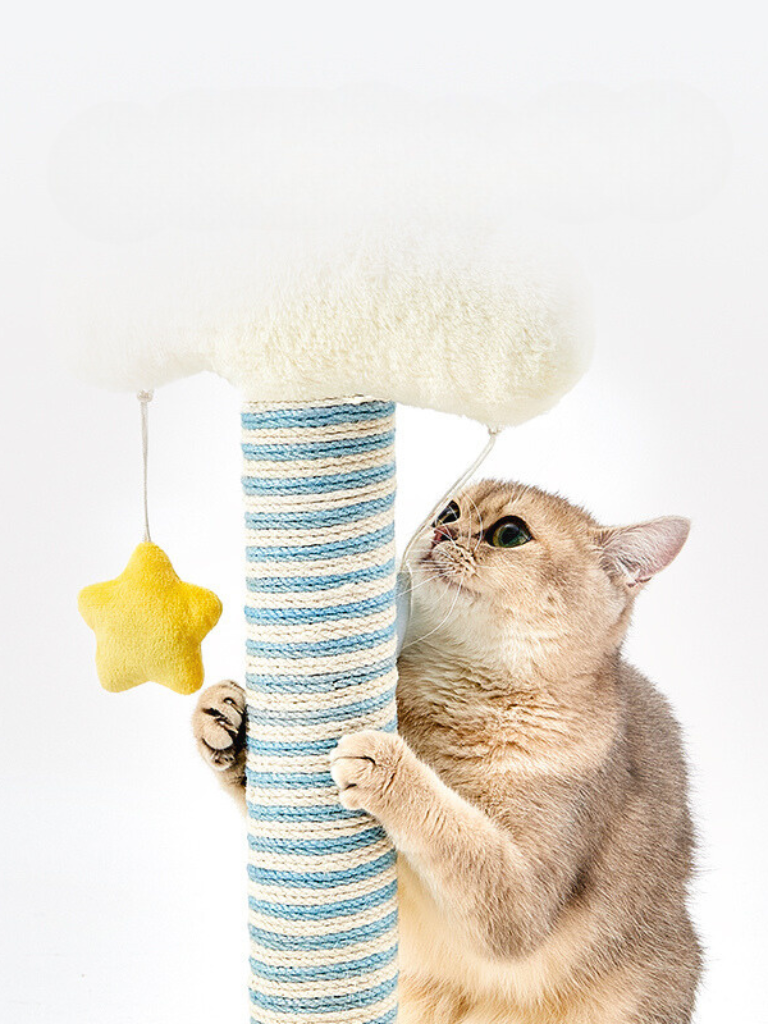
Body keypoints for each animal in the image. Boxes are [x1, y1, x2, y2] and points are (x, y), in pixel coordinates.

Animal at [192, 479, 704, 1024]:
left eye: (509, 533)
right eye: (450, 510)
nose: (441, 530)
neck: (455, 699)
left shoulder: (520, 900)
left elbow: (456, 834)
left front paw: (388, 767)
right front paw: (232, 726)